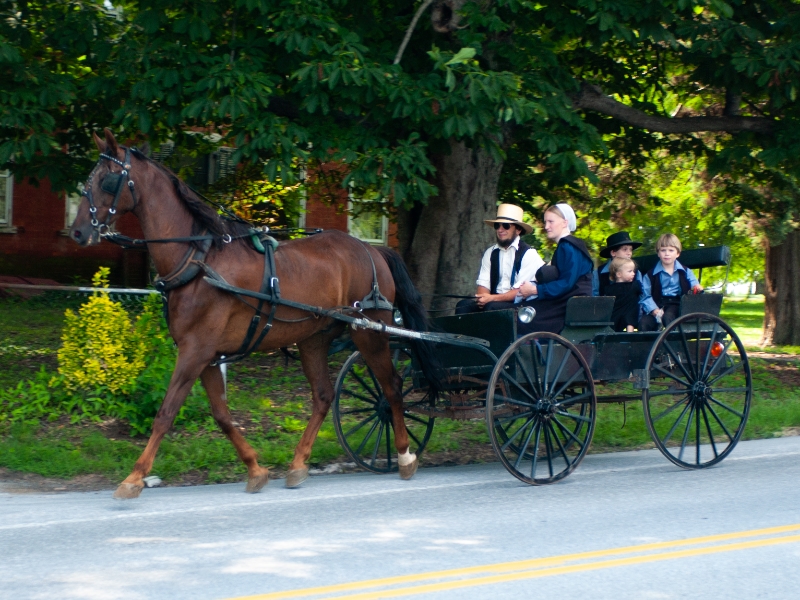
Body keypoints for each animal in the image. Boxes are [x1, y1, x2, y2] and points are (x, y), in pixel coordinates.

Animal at [70, 129, 444, 500]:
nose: (78, 231)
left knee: (392, 387)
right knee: (324, 395)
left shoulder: (195, 350)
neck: (198, 259)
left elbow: (166, 412)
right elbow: (221, 415)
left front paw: (134, 477)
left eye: (106, 180)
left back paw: (404, 455)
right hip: (313, 339)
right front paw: (255, 469)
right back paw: (298, 463)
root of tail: (372, 249)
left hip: (370, 332)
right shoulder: (207, 355)